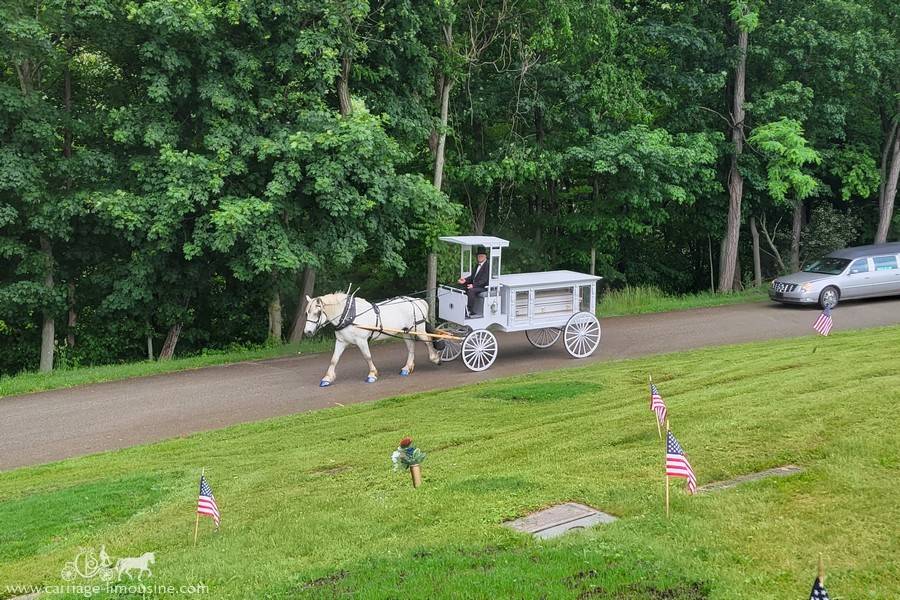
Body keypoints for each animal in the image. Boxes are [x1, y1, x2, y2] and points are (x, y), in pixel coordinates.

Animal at [304, 292, 442, 386]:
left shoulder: (361, 341)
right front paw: (327, 378)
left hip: (419, 329)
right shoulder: (341, 342)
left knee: (428, 341)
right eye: (306, 313)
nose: (307, 332)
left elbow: (367, 357)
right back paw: (407, 368)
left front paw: (372, 375)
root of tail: (416, 300)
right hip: (406, 332)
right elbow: (334, 360)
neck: (349, 315)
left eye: (317, 313)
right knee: (411, 348)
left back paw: (435, 358)